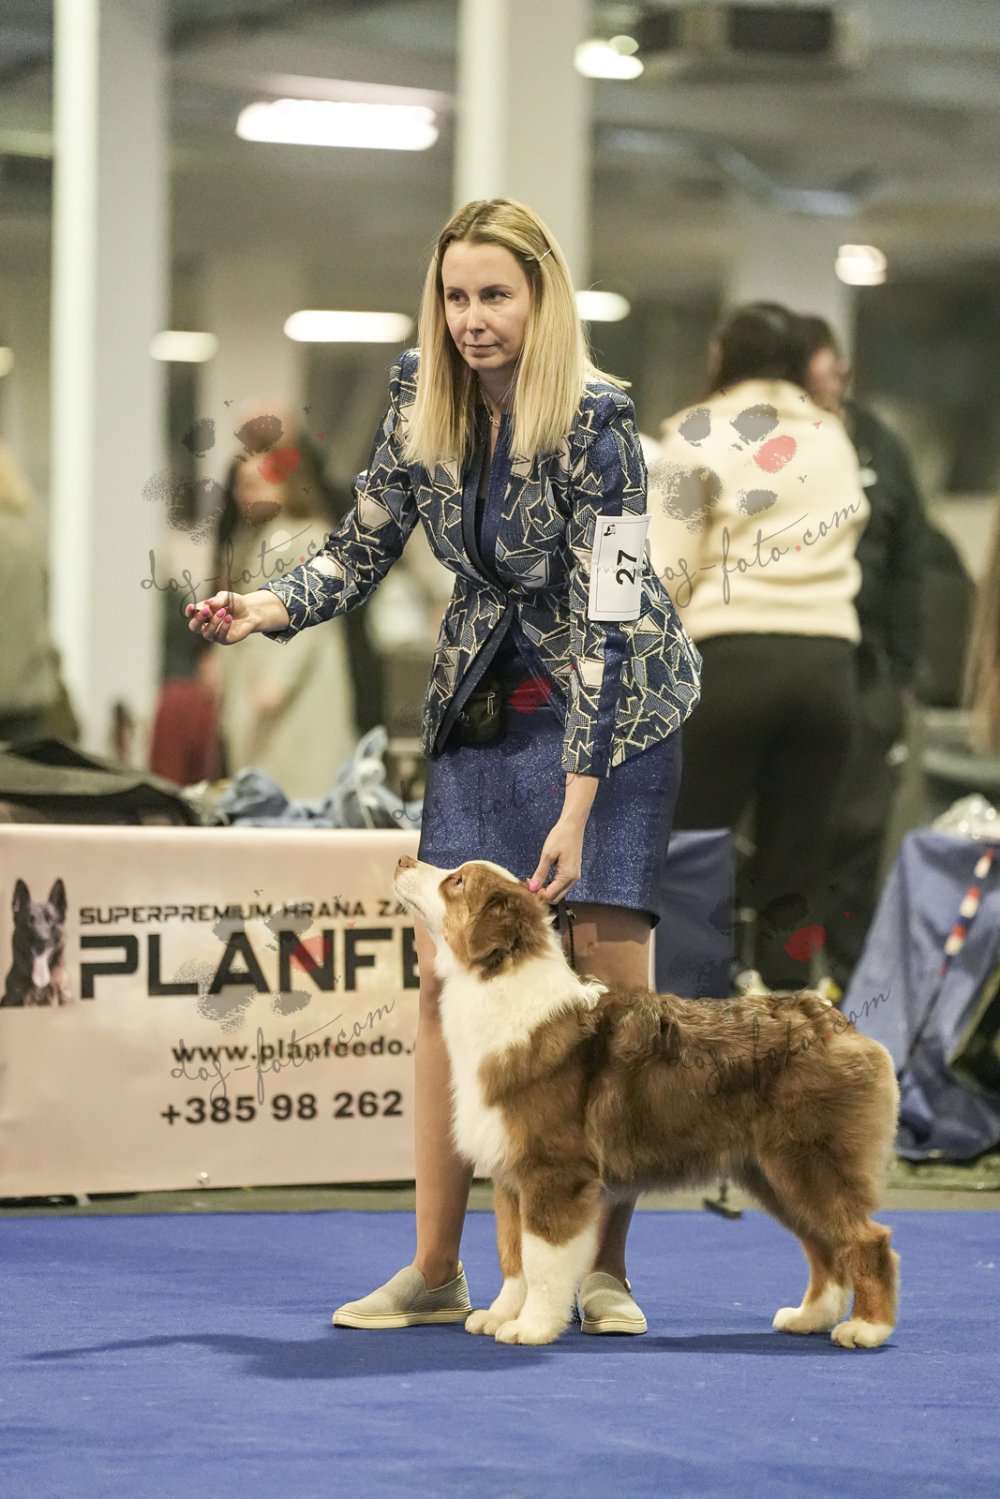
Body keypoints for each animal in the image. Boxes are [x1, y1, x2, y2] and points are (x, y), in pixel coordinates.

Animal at [394, 855, 900, 1349]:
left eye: (457, 882)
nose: (401, 860)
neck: (501, 987)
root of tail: (832, 1019)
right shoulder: (510, 1173)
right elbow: (512, 1254)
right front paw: (500, 1315)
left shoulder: (552, 1170)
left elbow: (540, 1260)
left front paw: (531, 1327)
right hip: (771, 1172)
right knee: (823, 1245)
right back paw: (810, 1316)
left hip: (810, 1160)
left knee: (867, 1238)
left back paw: (867, 1328)